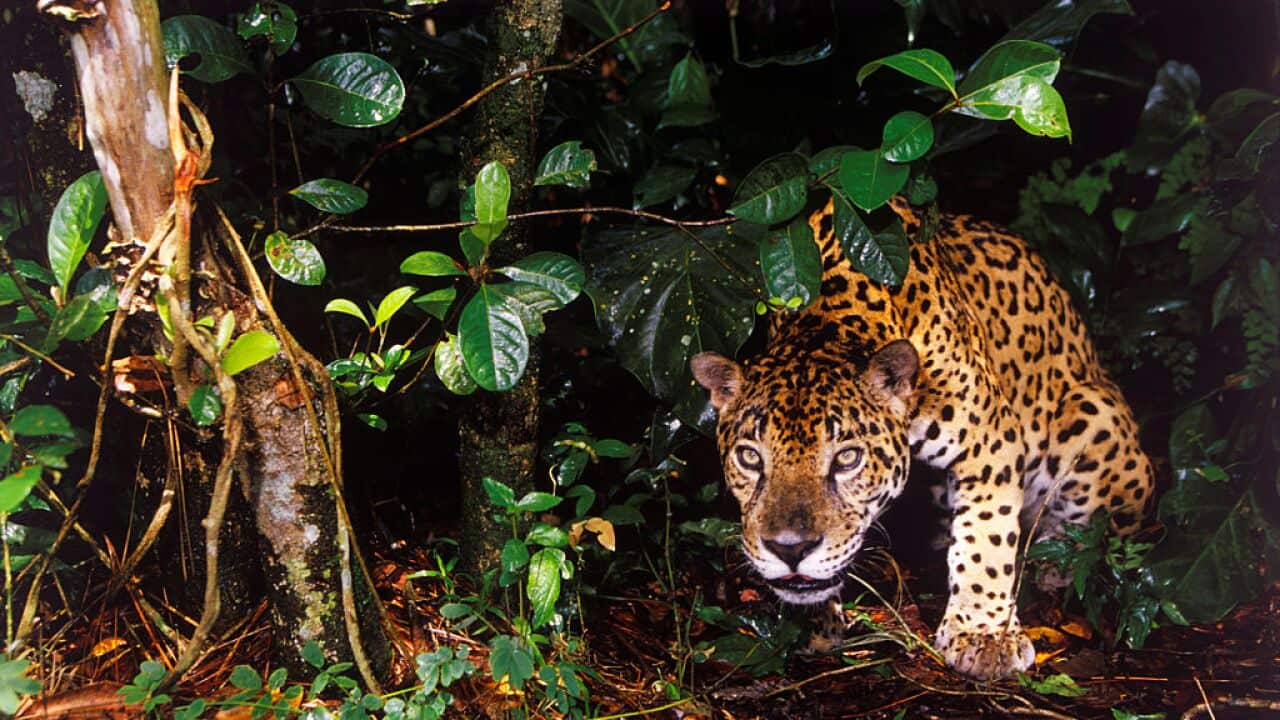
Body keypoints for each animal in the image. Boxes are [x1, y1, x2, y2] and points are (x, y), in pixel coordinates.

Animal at [691, 198, 1155, 681]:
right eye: (749, 458)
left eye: (847, 459)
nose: (790, 549)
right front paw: (809, 622)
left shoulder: (990, 437)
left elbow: (987, 535)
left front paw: (984, 634)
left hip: (1095, 419)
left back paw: (1052, 563)